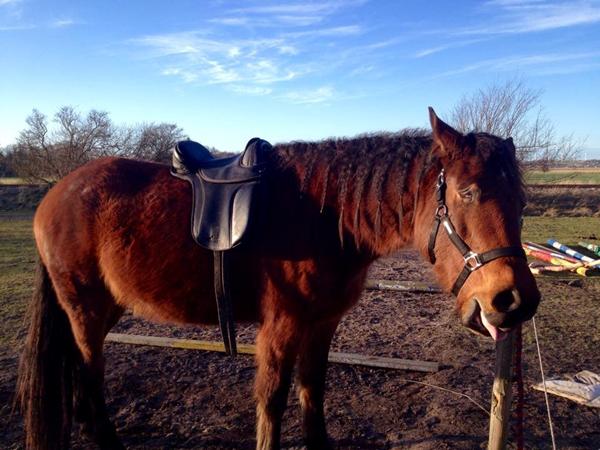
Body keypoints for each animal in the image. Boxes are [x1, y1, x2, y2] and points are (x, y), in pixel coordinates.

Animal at [16, 110, 540, 450]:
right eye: (468, 192)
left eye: (520, 200)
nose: (514, 300)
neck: (326, 217)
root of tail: (58, 192)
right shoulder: (282, 325)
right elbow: (273, 398)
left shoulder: (323, 323)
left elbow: (313, 389)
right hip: (85, 309)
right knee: (90, 370)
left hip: (105, 307)